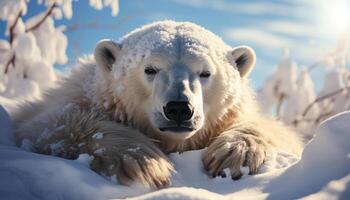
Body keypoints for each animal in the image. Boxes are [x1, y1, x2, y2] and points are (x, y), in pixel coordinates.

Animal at [13, 20, 304, 189]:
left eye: (205, 73)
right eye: (150, 69)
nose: (179, 109)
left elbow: (280, 132)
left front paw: (233, 153)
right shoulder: (68, 102)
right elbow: (52, 125)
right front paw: (144, 161)